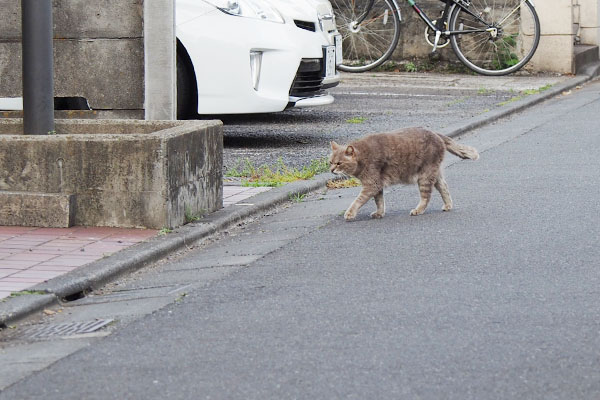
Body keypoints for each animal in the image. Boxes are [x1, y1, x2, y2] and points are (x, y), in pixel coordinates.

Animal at [328, 127, 478, 220]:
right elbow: (379, 201)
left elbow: (358, 201)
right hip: (434, 174)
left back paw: (418, 210)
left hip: (425, 176)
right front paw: (379, 213)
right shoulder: (377, 185)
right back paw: (448, 206)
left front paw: (350, 213)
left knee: (426, 197)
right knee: (444, 188)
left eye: (339, 163)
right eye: (330, 162)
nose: (331, 170)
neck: (362, 158)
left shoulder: (372, 184)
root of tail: (435, 132)